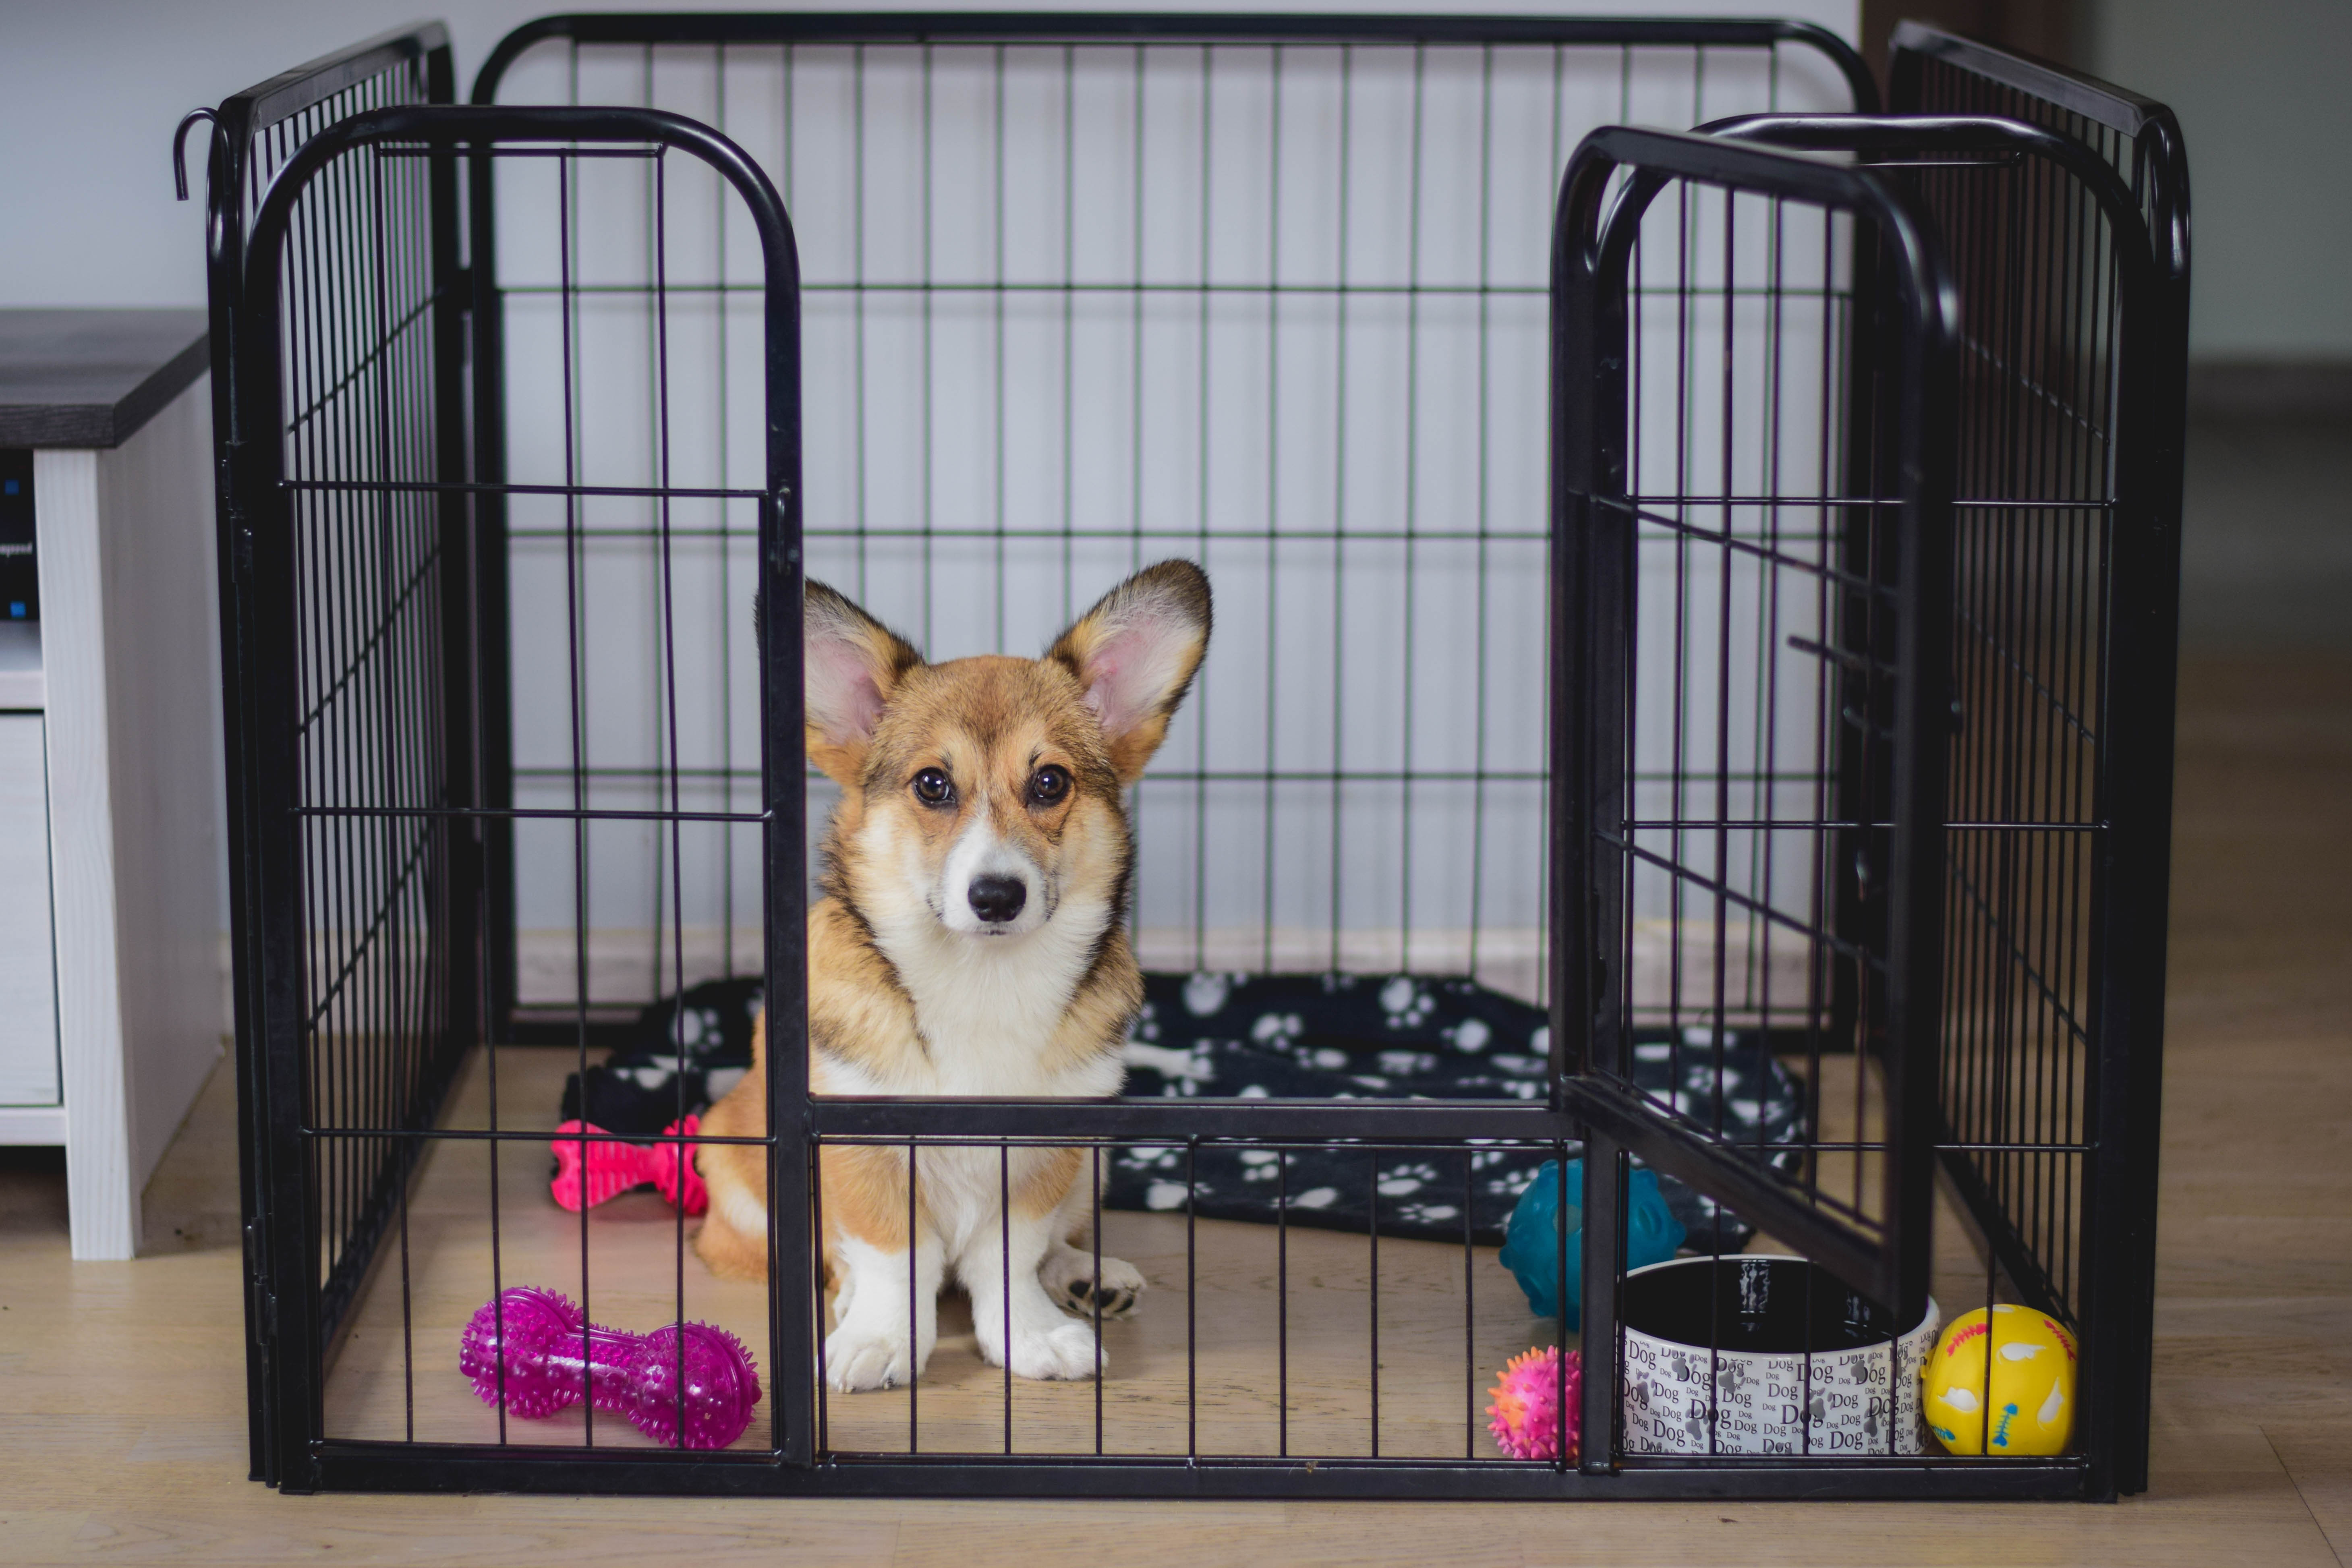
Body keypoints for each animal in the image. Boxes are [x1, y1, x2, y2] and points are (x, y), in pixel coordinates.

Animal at [691, 557, 1213, 1392]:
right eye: (932, 785)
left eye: (1049, 782)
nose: (996, 895)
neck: (982, 980)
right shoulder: (860, 1147)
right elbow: (889, 1256)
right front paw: (878, 1339)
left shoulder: (1042, 1156)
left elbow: (1012, 1256)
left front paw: (1032, 1334)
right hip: (738, 1176)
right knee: (828, 1259)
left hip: (1093, 1163)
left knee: (1054, 1243)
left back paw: (1085, 1275)